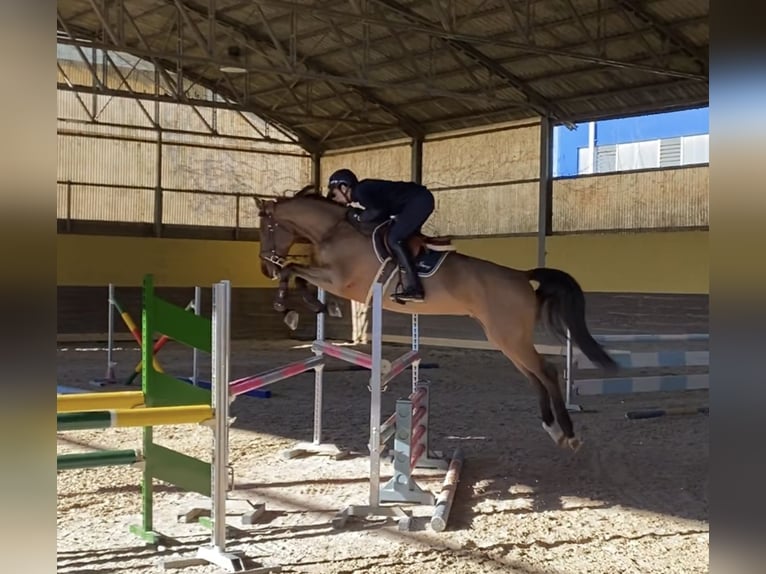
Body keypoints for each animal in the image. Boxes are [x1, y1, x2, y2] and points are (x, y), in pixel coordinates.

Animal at [254, 186, 617, 451]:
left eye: (266, 229)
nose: (265, 268)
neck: (335, 229)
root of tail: (520, 276)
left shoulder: (340, 281)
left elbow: (293, 269)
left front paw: (293, 309)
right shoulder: (331, 278)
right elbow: (296, 273)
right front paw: (307, 308)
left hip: (510, 337)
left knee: (547, 371)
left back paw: (569, 433)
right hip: (504, 338)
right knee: (533, 376)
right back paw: (552, 429)